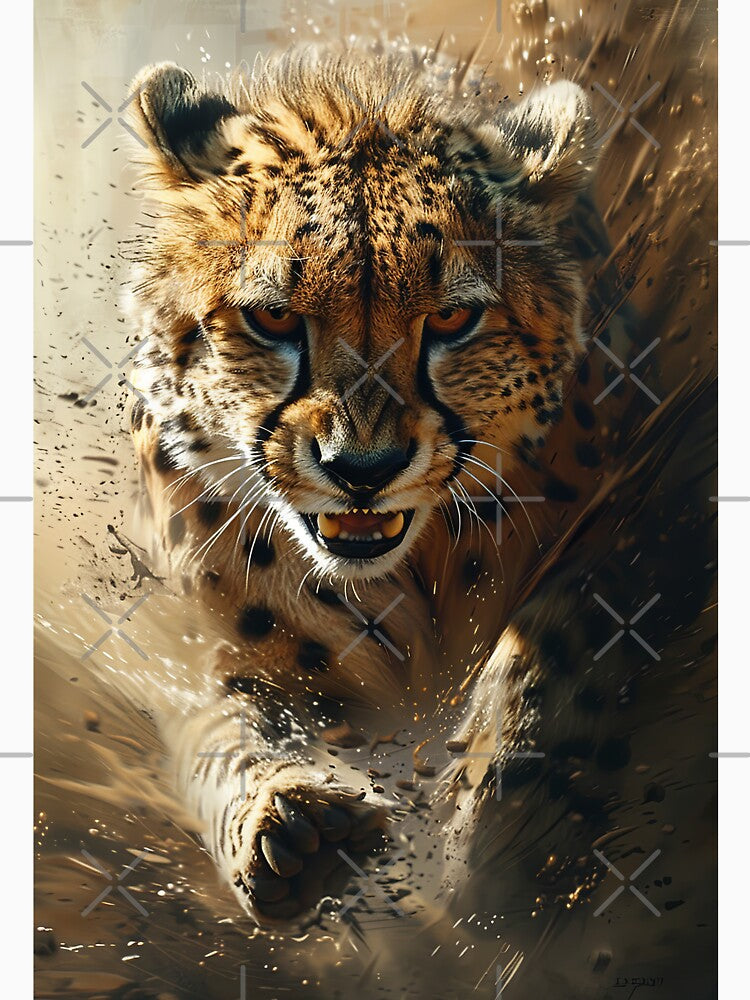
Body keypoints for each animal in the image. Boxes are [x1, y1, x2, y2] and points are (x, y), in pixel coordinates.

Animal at [124, 39, 715, 975]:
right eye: (273, 317)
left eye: (453, 319)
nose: (362, 469)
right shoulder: (193, 643)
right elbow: (226, 722)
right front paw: (291, 824)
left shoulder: (661, 486)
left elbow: (563, 634)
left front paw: (497, 831)